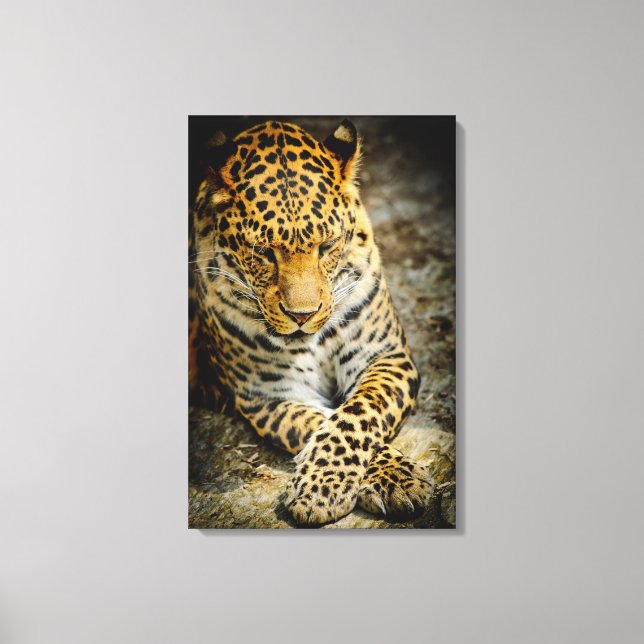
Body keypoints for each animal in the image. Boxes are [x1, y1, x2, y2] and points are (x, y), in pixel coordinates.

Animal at [189, 119, 433, 526]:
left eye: (327, 246)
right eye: (263, 252)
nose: (302, 315)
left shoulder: (385, 357)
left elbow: (356, 414)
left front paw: (387, 479)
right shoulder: (268, 395)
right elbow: (320, 422)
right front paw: (330, 487)